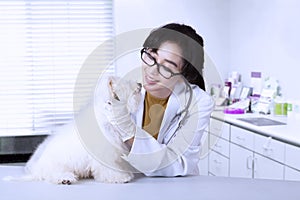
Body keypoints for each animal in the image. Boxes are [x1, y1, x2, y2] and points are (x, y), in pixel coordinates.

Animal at [3, 77, 142, 184]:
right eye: (125, 83)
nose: (140, 84)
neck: (106, 117)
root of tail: (37, 170)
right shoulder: (104, 154)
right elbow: (109, 168)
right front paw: (121, 177)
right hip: (57, 166)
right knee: (53, 174)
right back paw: (65, 179)